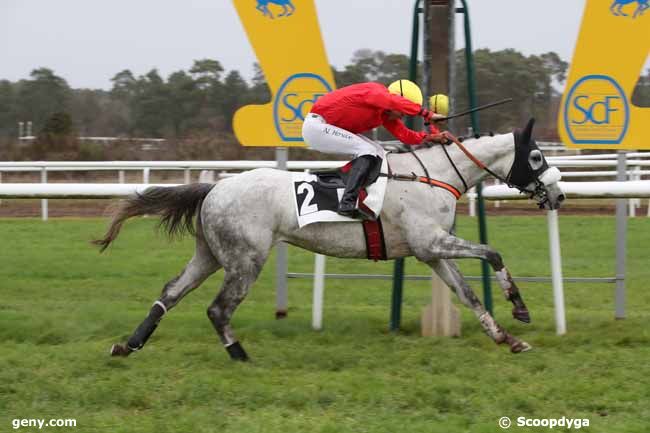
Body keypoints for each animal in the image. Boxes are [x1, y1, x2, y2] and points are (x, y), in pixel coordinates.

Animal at [95, 118, 560, 362]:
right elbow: (492, 253)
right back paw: (240, 354)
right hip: (245, 260)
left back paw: (128, 345)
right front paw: (520, 308)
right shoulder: (432, 243)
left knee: (170, 292)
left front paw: (507, 339)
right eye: (536, 156)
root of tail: (215, 187)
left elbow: (468, 295)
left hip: (210, 254)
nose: (557, 195)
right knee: (217, 309)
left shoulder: (430, 251)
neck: (432, 175)